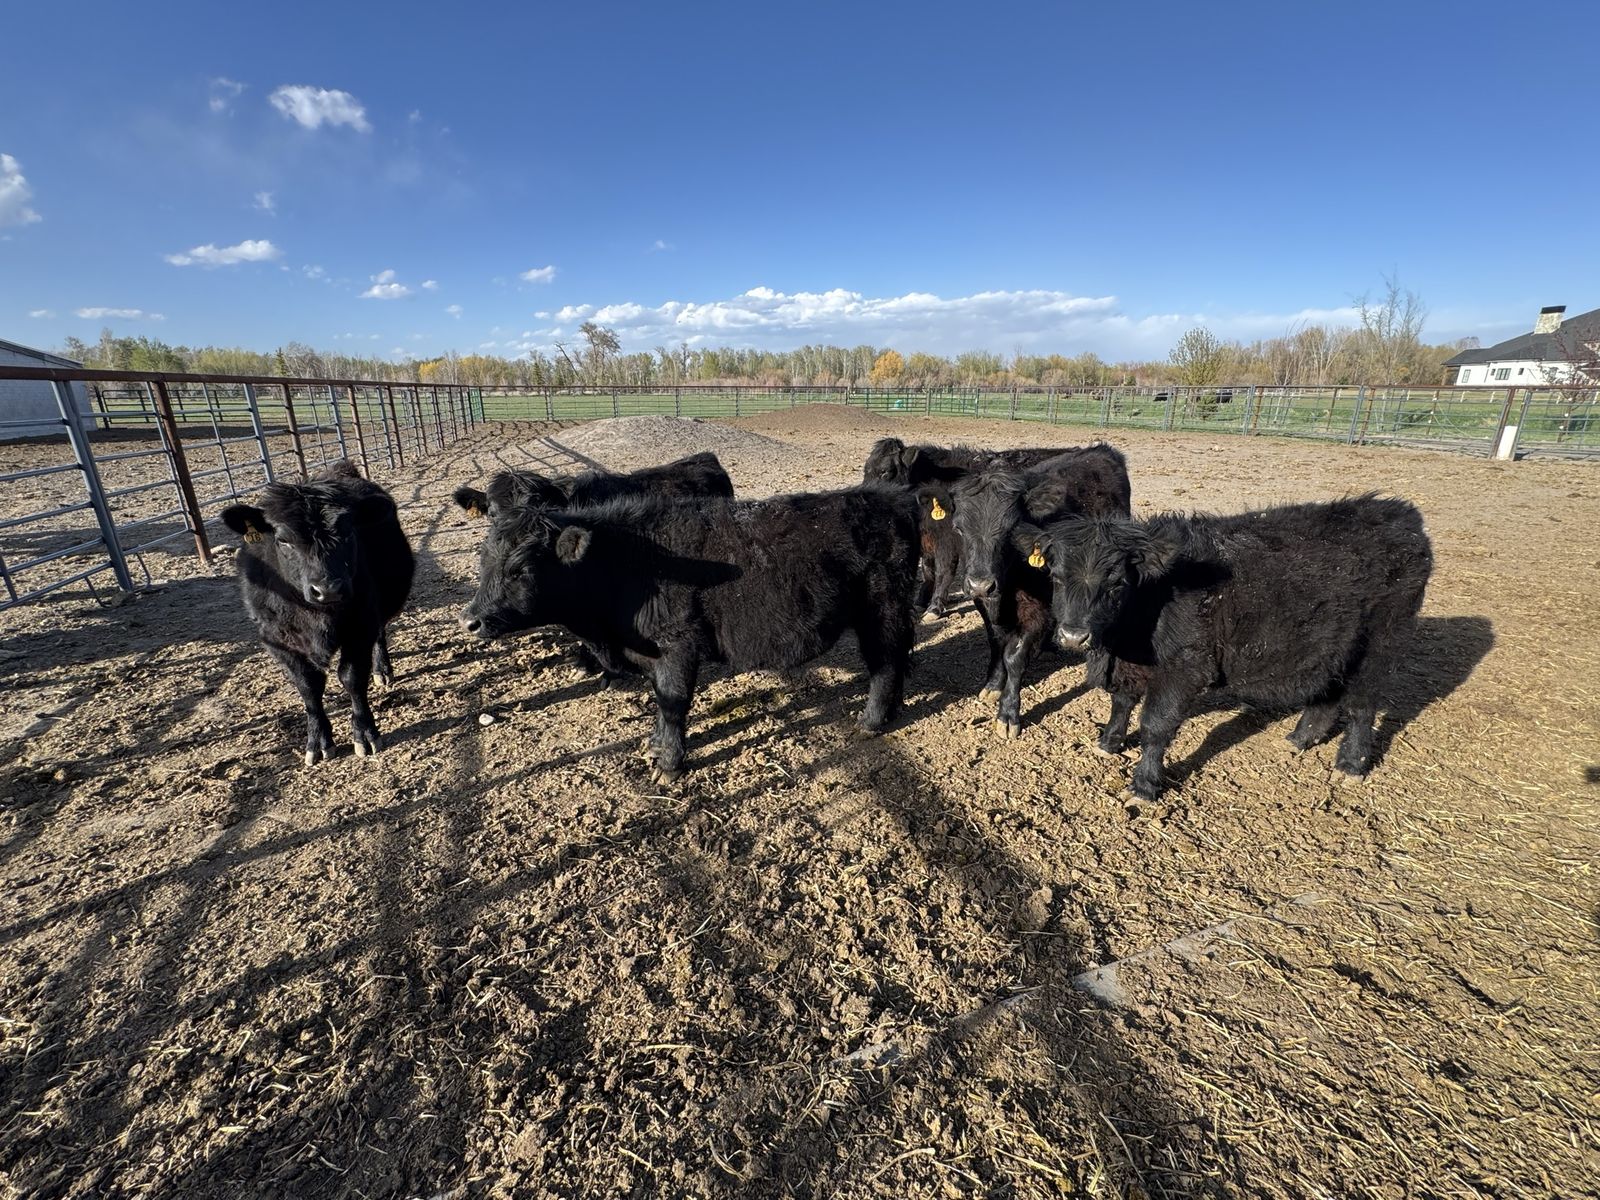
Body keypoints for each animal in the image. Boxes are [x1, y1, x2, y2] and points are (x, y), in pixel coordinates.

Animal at [220, 460, 415, 765]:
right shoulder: (276, 640)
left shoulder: (361, 626)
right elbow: (308, 687)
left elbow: (352, 678)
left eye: (348, 532)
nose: (329, 589)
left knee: (380, 633)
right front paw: (318, 739)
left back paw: (382, 669)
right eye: (283, 540)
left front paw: (365, 734)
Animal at [458, 481, 921, 782]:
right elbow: (660, 702)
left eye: (521, 569)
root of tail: (891, 496)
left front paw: (670, 765)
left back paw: (872, 720)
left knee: (885, 661)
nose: (470, 620)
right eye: (483, 562)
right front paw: (656, 744)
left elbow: (674, 701)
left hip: (882, 609)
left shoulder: (677, 645)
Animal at [952, 444, 1132, 737]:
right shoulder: (984, 605)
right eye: (959, 528)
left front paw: (1008, 714)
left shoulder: (1038, 609)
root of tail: (1100, 449)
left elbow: (1015, 657)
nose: (981, 584)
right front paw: (993, 685)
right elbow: (995, 643)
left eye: (1011, 530)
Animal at [1038, 494, 1432, 799]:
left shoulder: (1184, 667)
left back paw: (1351, 764)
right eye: (1056, 577)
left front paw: (1144, 786)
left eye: (1117, 583)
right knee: (1328, 695)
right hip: (1331, 648)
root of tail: (1400, 513)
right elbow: (1121, 703)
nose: (1074, 635)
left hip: (1381, 642)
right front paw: (1108, 742)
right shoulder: (1130, 666)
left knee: (1362, 704)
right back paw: (1299, 738)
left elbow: (1155, 725)